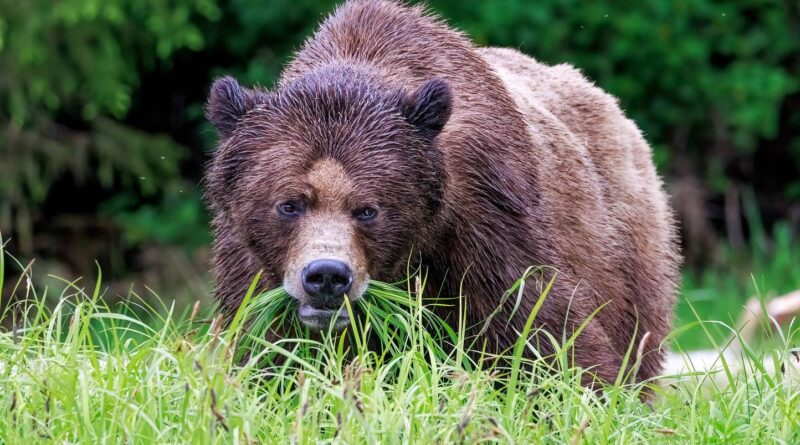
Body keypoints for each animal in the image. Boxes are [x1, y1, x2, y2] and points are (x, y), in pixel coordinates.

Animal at [206, 0, 680, 384]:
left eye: (368, 209)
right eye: (290, 204)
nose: (326, 276)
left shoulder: (488, 217)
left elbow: (542, 330)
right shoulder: (251, 262)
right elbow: (269, 347)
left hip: (624, 246)